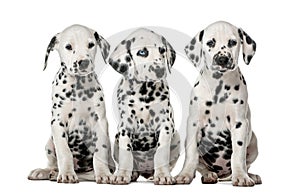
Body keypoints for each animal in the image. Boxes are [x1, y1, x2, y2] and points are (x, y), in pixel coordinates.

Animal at [27, 24, 115, 183]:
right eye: (68, 46)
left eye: (91, 45)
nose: (84, 62)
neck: (78, 88)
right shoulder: (57, 123)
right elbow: (64, 152)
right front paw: (67, 173)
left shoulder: (100, 122)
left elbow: (100, 151)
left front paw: (104, 174)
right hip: (49, 143)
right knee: (53, 164)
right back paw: (46, 172)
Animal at [109, 28, 182, 184]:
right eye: (142, 52)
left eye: (162, 50)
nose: (160, 70)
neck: (144, 92)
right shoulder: (125, 127)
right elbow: (126, 154)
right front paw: (122, 175)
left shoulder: (165, 125)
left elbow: (161, 153)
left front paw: (163, 175)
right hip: (116, 139)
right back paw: (132, 174)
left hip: (177, 138)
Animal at [177, 21, 262, 186]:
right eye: (211, 43)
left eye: (233, 42)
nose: (222, 59)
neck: (219, 86)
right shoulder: (194, 123)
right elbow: (191, 154)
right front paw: (185, 174)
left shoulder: (239, 123)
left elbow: (238, 154)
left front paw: (241, 176)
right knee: (201, 165)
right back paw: (209, 175)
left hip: (254, 142)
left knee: (246, 163)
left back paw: (250, 175)